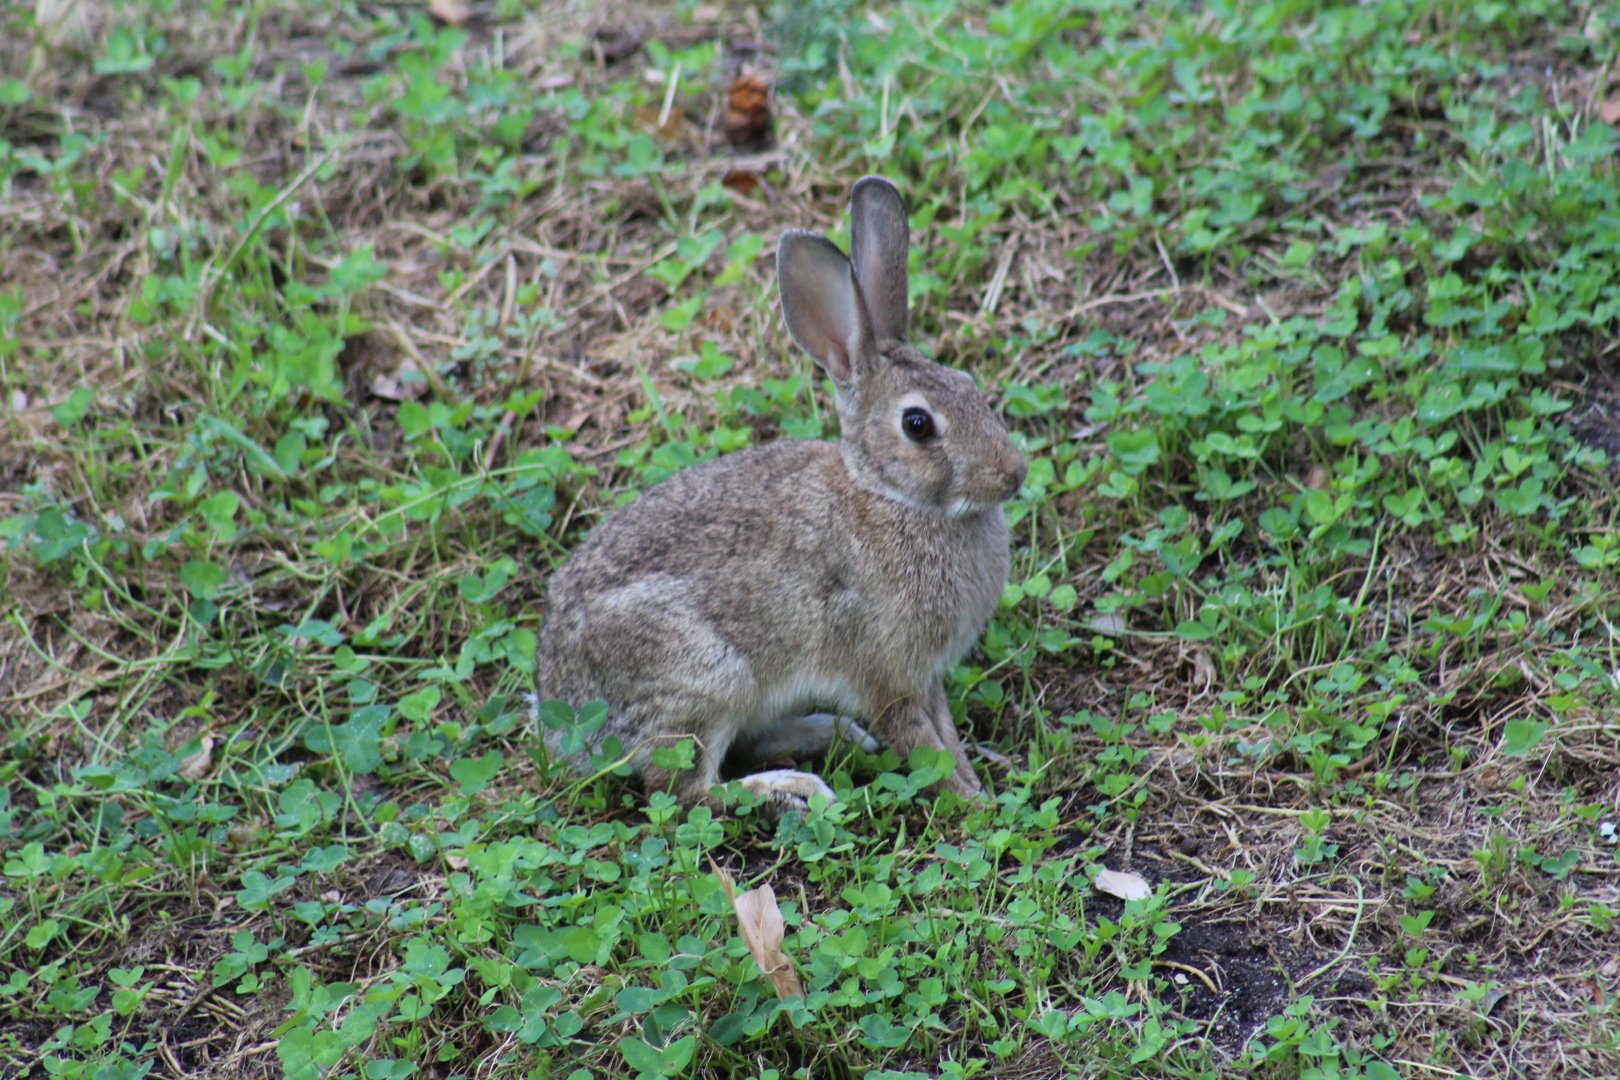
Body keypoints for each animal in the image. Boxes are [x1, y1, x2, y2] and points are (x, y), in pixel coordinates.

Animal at [534, 176, 1027, 815]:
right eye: (918, 424)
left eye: (969, 385)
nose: (1013, 474)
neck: (891, 498)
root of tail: (558, 709)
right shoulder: (886, 671)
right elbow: (919, 743)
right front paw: (971, 803)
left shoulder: (927, 674)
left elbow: (945, 734)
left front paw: (979, 786)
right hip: (705, 676)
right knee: (684, 791)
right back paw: (796, 788)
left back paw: (830, 734)